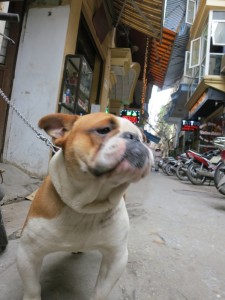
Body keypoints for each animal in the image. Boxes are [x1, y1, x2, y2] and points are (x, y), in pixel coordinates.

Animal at [16, 113, 152, 300]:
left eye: (144, 139)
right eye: (104, 130)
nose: (135, 138)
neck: (86, 208)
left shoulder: (116, 258)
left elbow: (101, 291)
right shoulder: (27, 254)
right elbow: (32, 288)